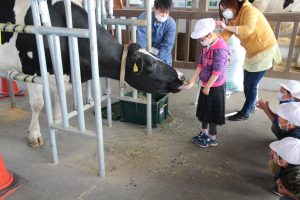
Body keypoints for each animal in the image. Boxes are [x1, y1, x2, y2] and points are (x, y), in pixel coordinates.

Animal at [0, 0, 186, 147]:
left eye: (155, 57)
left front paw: (58, 123)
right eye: (150, 64)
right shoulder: (31, 69)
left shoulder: (60, 73)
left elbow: (60, 97)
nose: (182, 77)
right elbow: (38, 104)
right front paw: (35, 135)